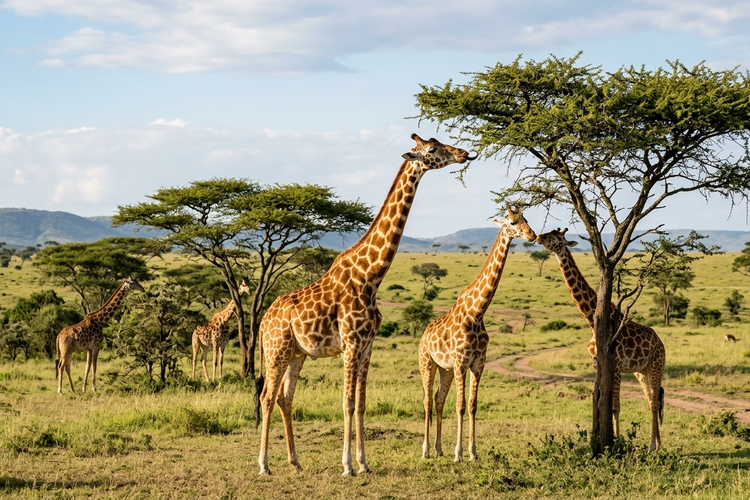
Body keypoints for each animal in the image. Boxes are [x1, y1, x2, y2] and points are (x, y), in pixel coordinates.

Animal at [256, 133, 476, 476]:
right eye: (432, 149)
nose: (465, 153)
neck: (370, 277)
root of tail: (264, 320)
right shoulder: (350, 343)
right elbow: (346, 402)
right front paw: (347, 465)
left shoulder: (367, 344)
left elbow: (360, 403)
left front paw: (364, 463)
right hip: (277, 349)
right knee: (267, 396)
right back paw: (264, 464)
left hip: (296, 353)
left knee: (285, 398)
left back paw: (295, 462)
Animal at [419, 207, 536, 462]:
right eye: (513, 222)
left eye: (526, 219)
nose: (532, 235)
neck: (478, 312)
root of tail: (423, 335)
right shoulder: (461, 362)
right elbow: (461, 405)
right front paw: (459, 453)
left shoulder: (477, 363)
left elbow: (472, 404)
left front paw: (473, 452)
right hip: (427, 363)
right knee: (426, 400)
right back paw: (425, 450)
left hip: (445, 369)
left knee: (438, 399)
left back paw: (438, 449)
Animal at [536, 228, 666, 451]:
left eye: (557, 238)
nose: (538, 237)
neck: (590, 320)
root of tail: (662, 344)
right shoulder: (597, 362)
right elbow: (598, 402)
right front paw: (600, 438)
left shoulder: (616, 363)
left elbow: (615, 406)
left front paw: (616, 441)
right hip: (642, 370)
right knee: (651, 400)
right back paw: (654, 443)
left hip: (657, 364)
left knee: (656, 401)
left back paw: (654, 446)